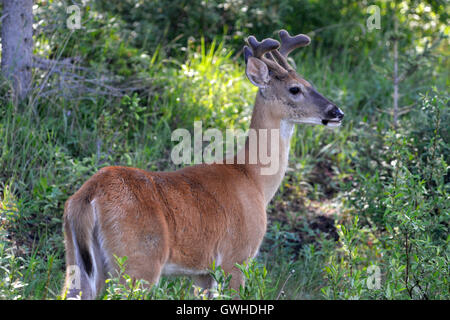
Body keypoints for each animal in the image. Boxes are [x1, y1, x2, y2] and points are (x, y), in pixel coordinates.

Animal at [61, 30, 344, 300]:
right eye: (295, 89)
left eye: (309, 83)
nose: (337, 112)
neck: (254, 178)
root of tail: (88, 196)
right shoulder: (236, 257)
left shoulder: (203, 272)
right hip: (137, 261)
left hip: (76, 260)